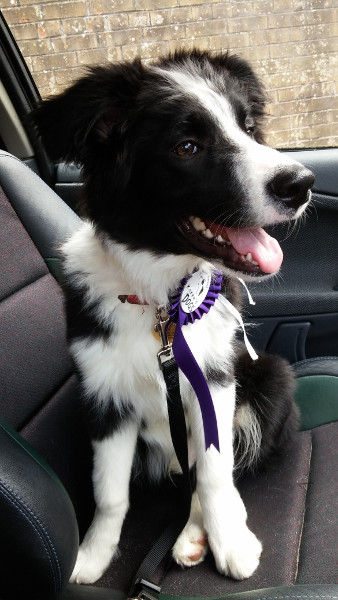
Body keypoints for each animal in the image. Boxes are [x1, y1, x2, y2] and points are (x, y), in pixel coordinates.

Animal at [31, 50, 314, 584]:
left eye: (248, 128)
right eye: (187, 147)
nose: (303, 185)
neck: (161, 301)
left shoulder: (215, 375)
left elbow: (216, 472)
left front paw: (230, 544)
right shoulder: (104, 396)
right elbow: (109, 493)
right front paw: (91, 556)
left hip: (271, 376)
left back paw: (200, 534)